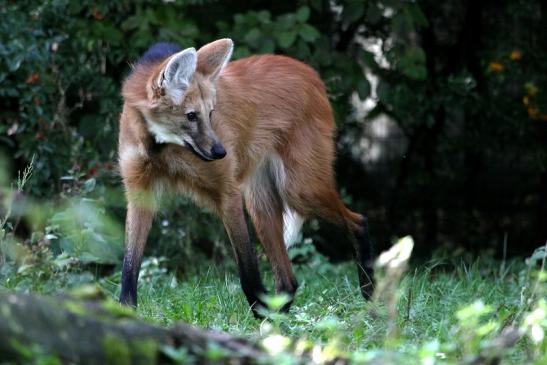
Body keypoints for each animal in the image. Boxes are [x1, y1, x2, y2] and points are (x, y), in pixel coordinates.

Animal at [117, 38, 374, 314]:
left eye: (210, 113)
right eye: (191, 115)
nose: (221, 152)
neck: (160, 147)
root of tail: (309, 71)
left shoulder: (228, 193)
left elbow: (247, 269)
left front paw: (259, 311)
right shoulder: (139, 191)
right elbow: (129, 267)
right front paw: (123, 311)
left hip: (300, 190)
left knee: (359, 221)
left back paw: (369, 292)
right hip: (260, 202)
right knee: (288, 280)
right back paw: (277, 322)